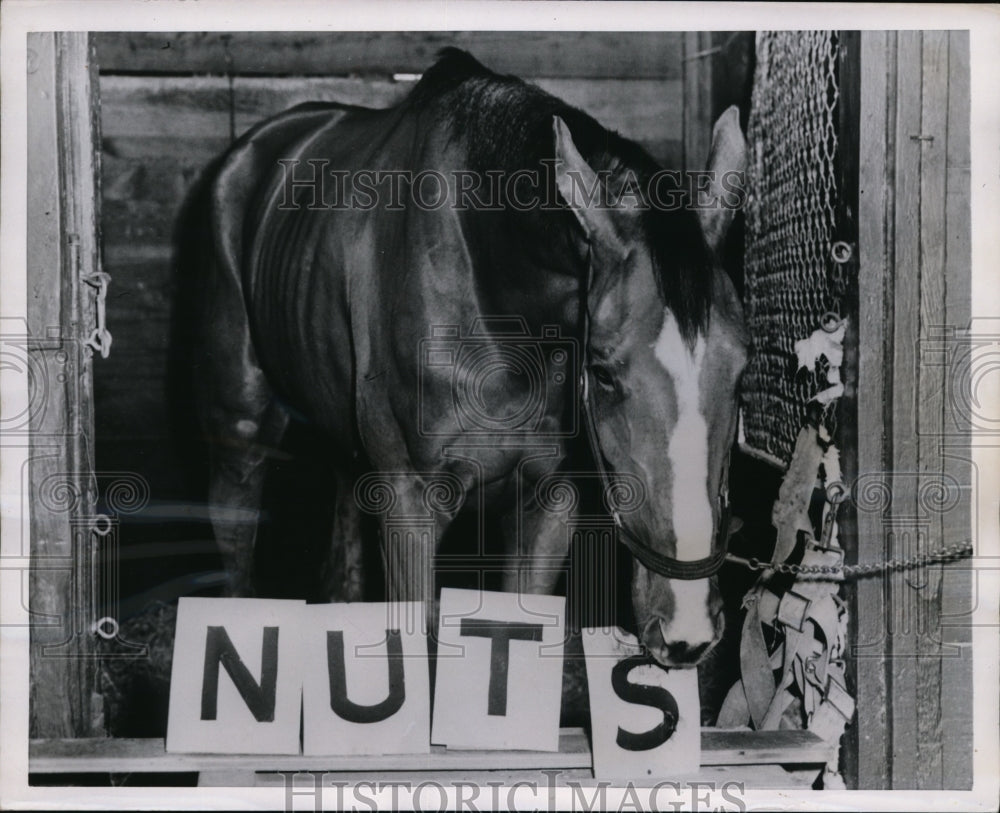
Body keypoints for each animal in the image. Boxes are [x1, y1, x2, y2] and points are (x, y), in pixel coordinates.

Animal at [195, 47, 748, 668]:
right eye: (603, 372)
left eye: (741, 374)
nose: (688, 630)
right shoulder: (409, 505)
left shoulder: (548, 501)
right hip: (239, 421)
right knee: (235, 526)